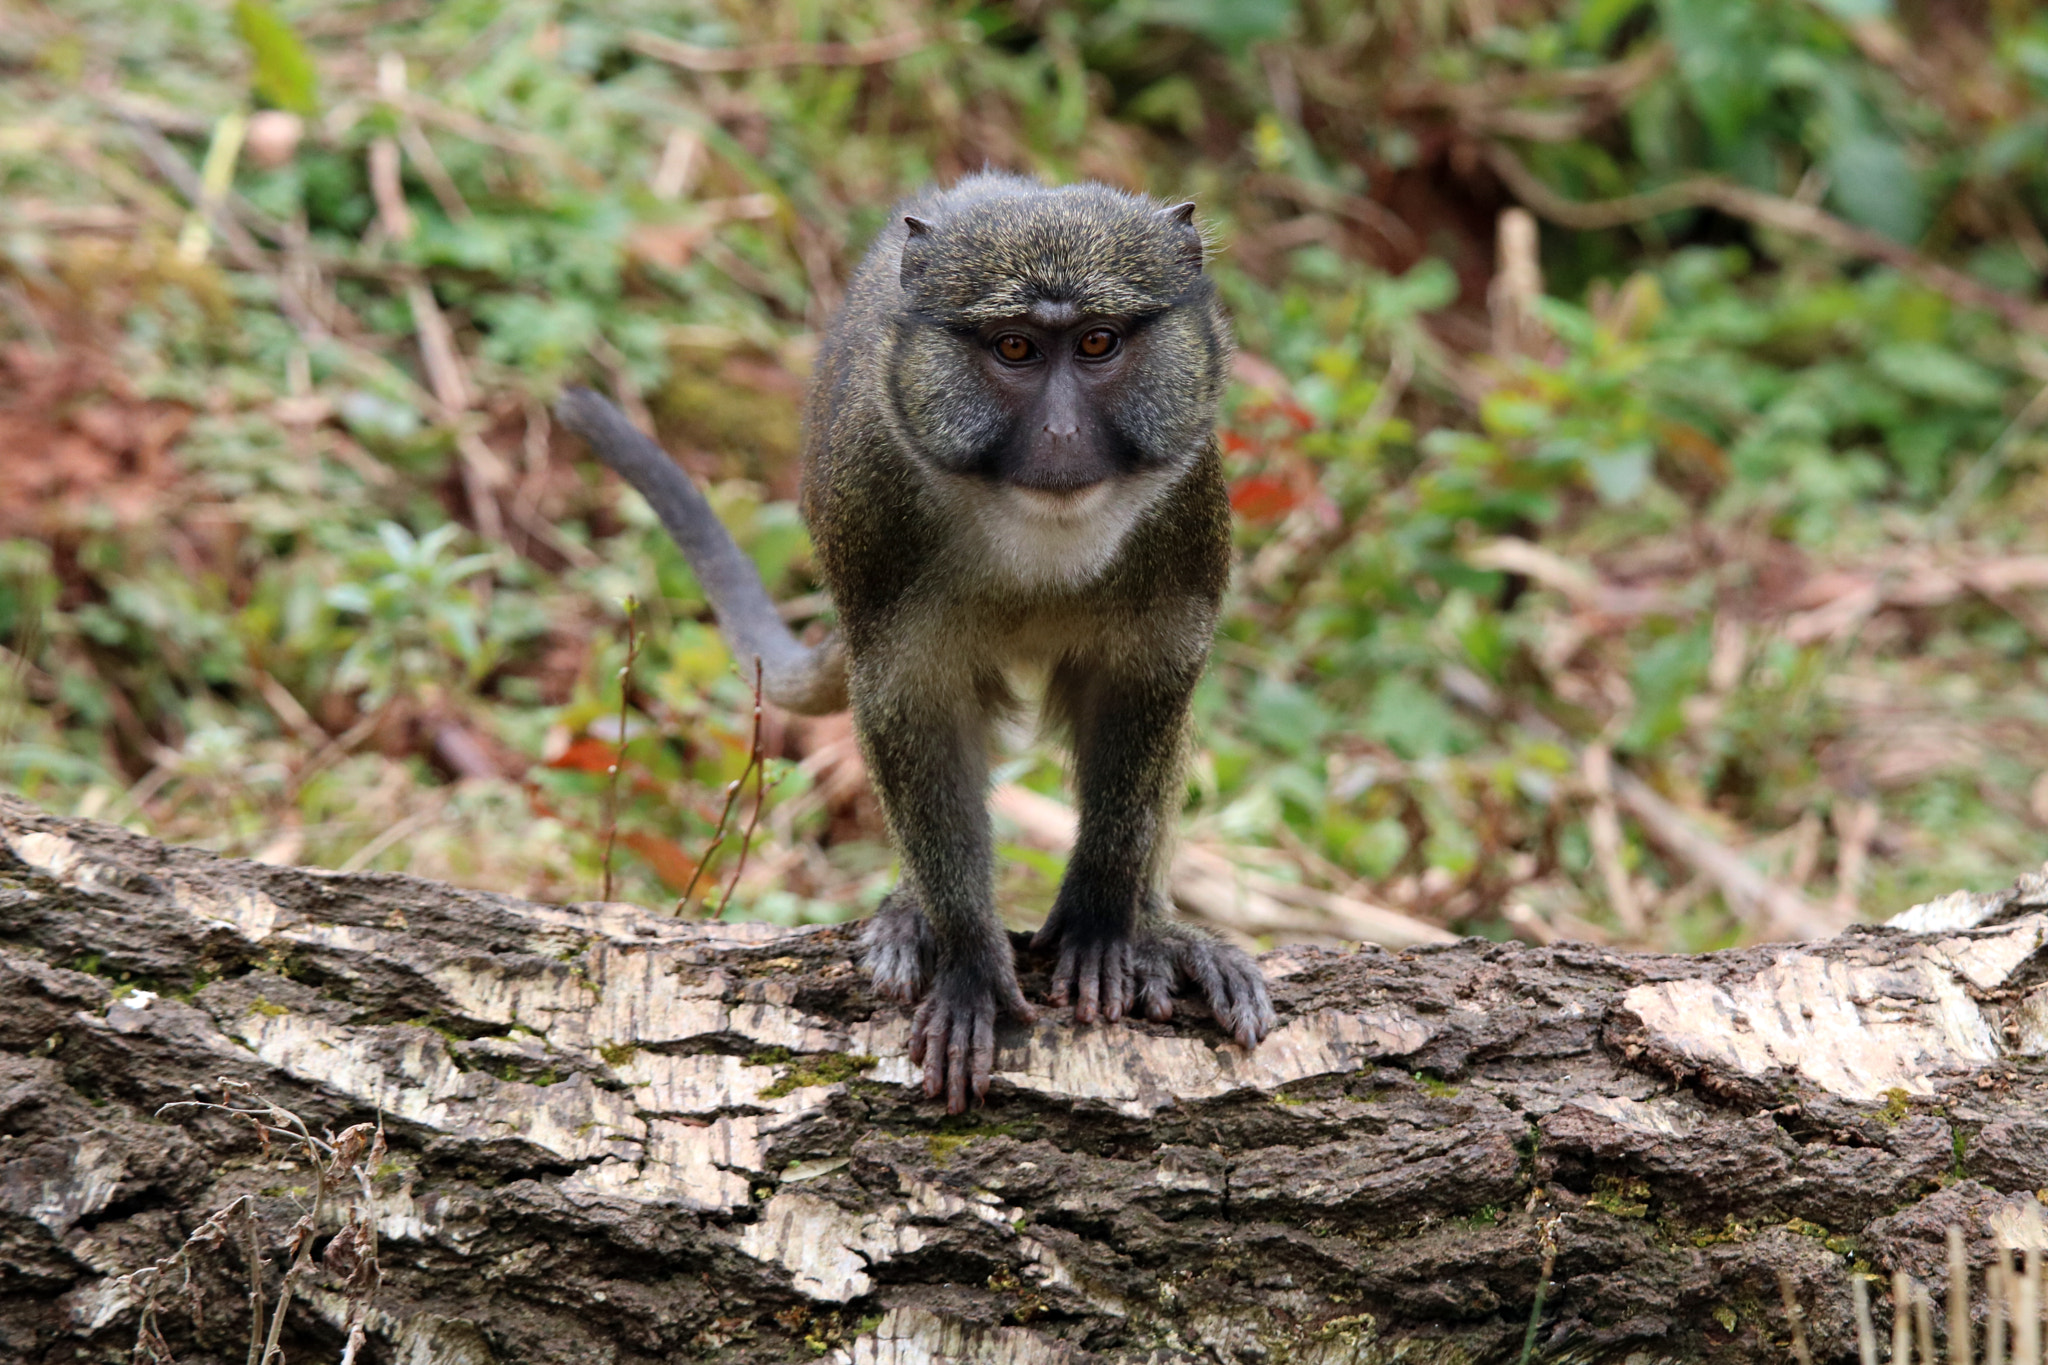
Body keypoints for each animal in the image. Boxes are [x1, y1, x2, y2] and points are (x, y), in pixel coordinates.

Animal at [557, 173, 1275, 1113]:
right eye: (1013, 348)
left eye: (1097, 341)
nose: (1059, 437)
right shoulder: (878, 515)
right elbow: (915, 710)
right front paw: (970, 963)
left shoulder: (1187, 512)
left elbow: (1145, 688)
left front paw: (1102, 921)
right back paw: (913, 912)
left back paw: (1157, 930)